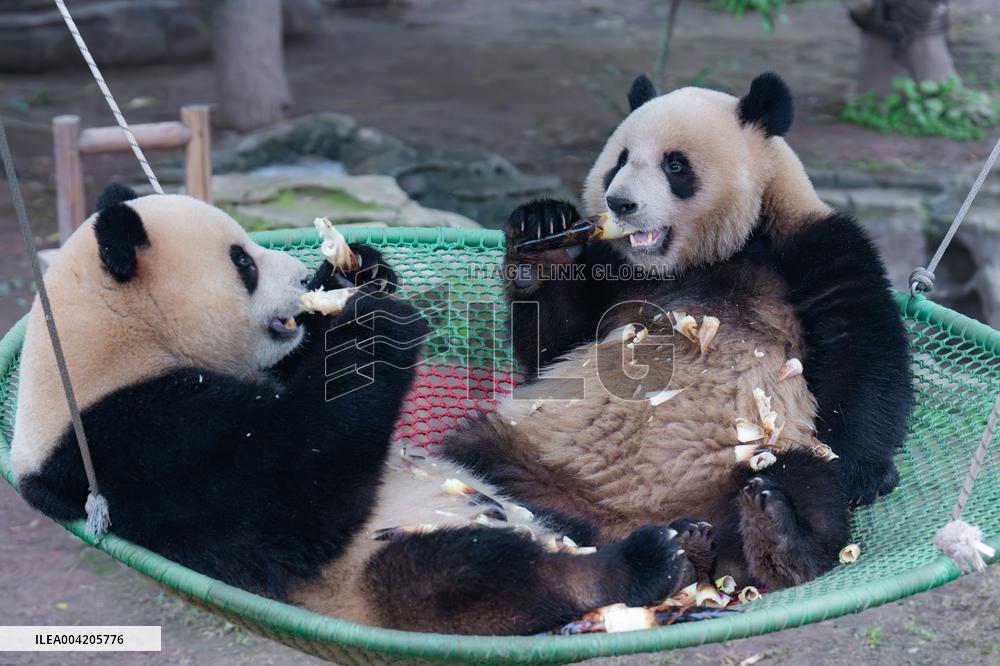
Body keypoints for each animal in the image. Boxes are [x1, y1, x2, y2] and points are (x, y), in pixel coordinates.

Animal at [11, 184, 707, 635]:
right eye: (242, 262)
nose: (299, 280)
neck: (114, 341)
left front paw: (358, 271)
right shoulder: (121, 440)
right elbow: (288, 500)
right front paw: (371, 326)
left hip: (524, 503)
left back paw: (691, 538)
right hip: (378, 576)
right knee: (477, 574)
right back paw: (644, 562)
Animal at [444, 73, 913, 592]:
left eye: (675, 165)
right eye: (620, 161)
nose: (620, 203)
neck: (707, 255)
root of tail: (628, 518)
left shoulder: (812, 244)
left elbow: (862, 351)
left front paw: (866, 474)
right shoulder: (613, 266)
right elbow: (555, 345)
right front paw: (543, 235)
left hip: (750, 460)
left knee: (805, 480)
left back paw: (776, 539)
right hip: (533, 448)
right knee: (476, 457)